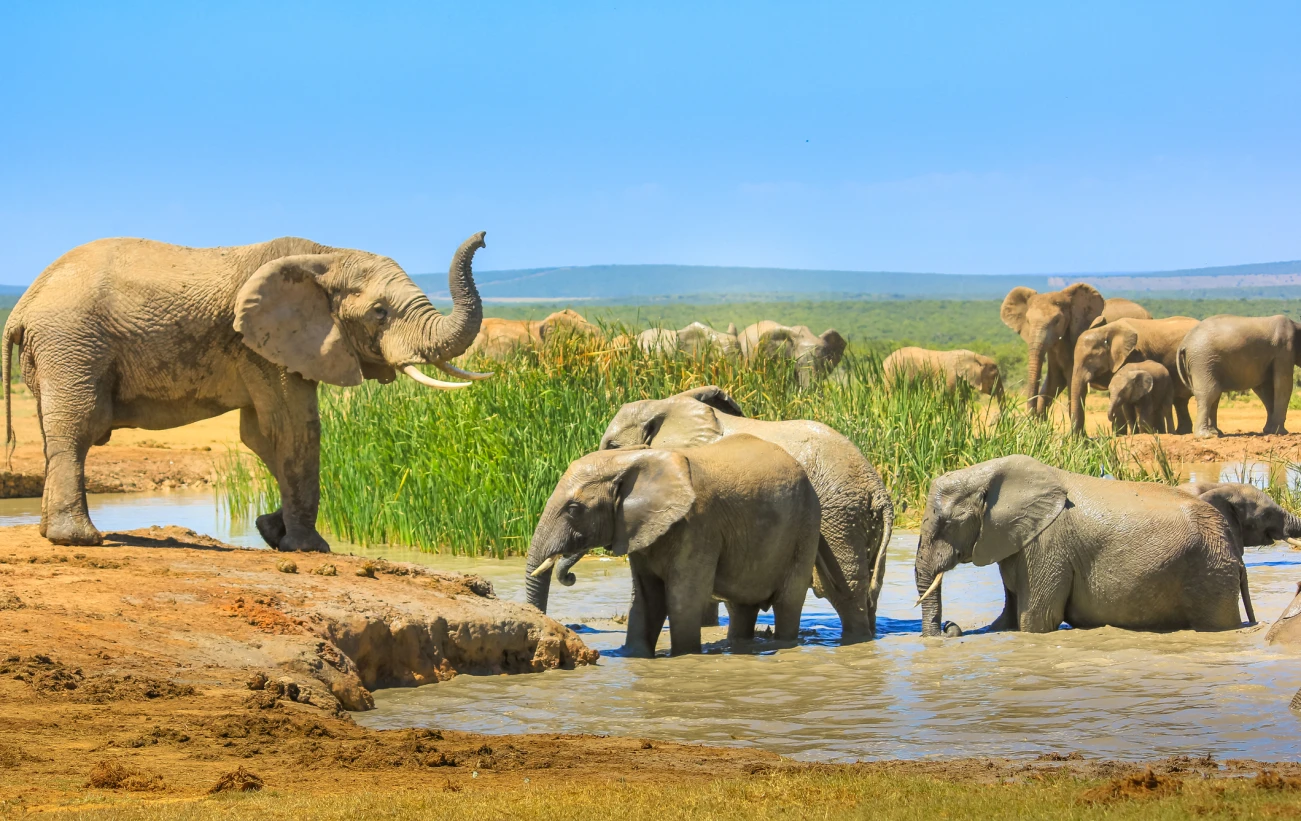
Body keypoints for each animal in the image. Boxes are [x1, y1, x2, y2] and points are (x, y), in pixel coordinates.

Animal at [3, 232, 489, 549]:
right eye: (380, 312)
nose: (484, 237)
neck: (326, 255)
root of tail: (23, 305)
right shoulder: (262, 345)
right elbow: (293, 429)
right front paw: (309, 548)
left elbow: (262, 436)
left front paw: (271, 530)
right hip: (72, 343)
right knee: (79, 428)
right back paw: (79, 540)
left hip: (55, 352)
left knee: (55, 433)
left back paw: (52, 533)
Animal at [523, 435, 822, 657]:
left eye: (574, 509)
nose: (570, 576)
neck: (634, 459)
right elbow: (646, 600)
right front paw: (633, 656)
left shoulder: (698, 524)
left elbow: (682, 599)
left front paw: (684, 655)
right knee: (740, 608)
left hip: (806, 526)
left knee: (787, 602)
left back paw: (781, 645)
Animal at [578, 386, 893, 641]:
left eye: (613, 446)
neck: (666, 405)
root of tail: (877, 490)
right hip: (859, 522)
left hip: (837, 517)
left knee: (845, 589)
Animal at [914, 455, 1254, 636]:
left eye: (947, 523)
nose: (950, 626)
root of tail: (1235, 553)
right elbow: (1008, 619)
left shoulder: (1047, 546)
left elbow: (1036, 620)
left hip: (1210, 573)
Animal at [1068, 316, 1199, 434]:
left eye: (1089, 359)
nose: (1083, 438)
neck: (1105, 330)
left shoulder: (1135, 354)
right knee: (1180, 401)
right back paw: (1182, 432)